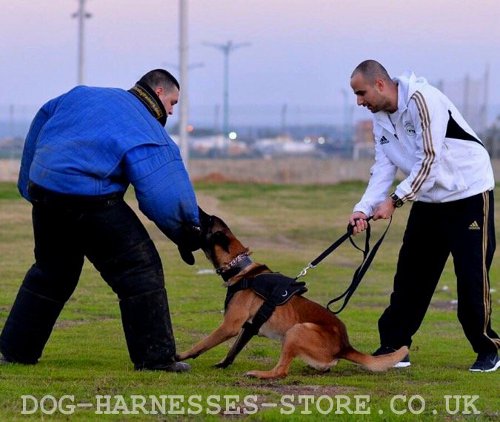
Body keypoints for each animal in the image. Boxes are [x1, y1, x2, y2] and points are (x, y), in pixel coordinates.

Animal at [177, 211, 410, 380]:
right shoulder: (248, 328)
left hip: (296, 331)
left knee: (281, 371)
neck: (241, 269)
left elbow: (203, 343)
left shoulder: (229, 326)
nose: (193, 211)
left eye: (206, 221)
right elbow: (233, 350)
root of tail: (345, 346)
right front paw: (223, 365)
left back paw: (258, 374)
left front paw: (179, 356)